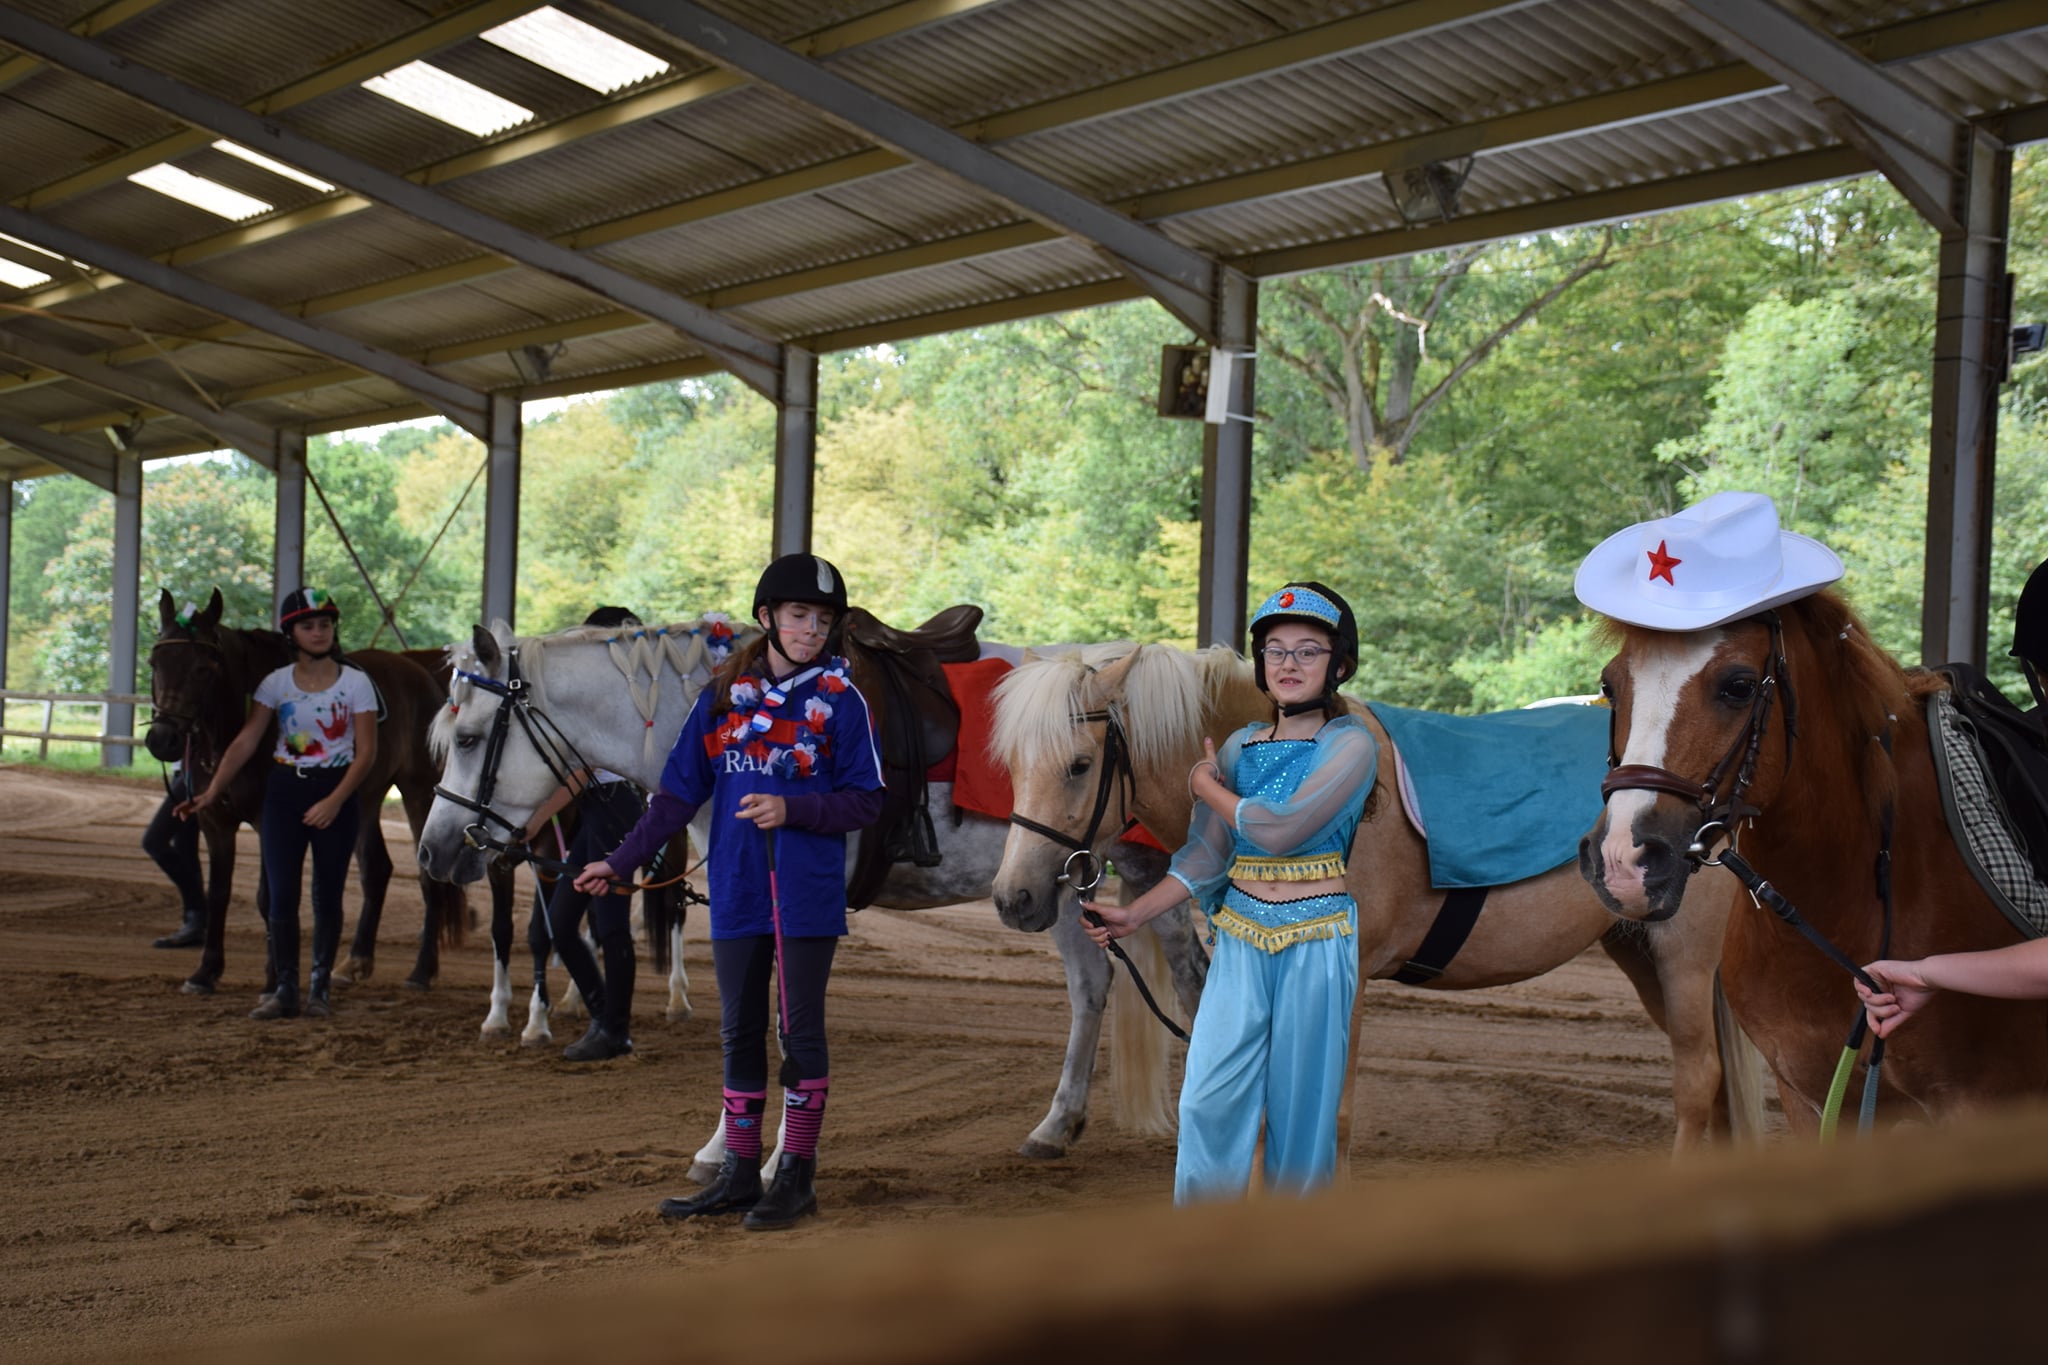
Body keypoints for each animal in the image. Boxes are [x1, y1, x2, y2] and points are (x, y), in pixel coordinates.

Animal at [144, 589, 464, 994]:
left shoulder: (268, 820)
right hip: (363, 799)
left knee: (428, 876)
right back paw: (355, 962)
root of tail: (415, 670)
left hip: (418, 792)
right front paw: (206, 971)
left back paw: (421, 971)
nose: (162, 739)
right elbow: (218, 893)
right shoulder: (214, 820)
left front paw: (271, 978)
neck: (233, 734)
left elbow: (270, 897)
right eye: (155, 662)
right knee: (376, 870)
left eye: (203, 668)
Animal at [415, 613, 1179, 1170]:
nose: (433, 850)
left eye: (471, 737)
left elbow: (788, 1022)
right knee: (1097, 985)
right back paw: (1059, 1125)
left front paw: (776, 1155)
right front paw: (724, 1148)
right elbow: (746, 1013)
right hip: (1057, 886)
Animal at [987, 642, 1761, 1154]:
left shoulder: (1345, 980)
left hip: (1682, 956)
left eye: (1079, 765)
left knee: (1699, 1083)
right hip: (1638, 952)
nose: (1013, 898)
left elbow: (1327, 1115)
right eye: (1013, 766)